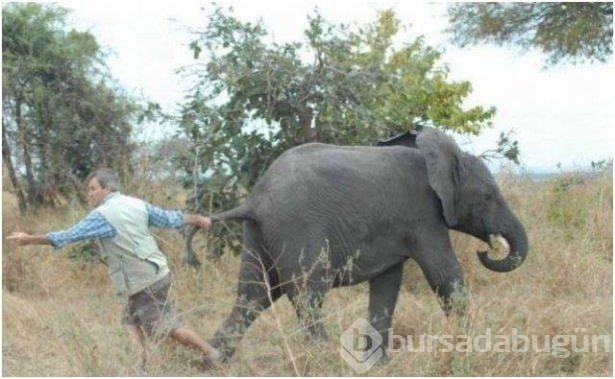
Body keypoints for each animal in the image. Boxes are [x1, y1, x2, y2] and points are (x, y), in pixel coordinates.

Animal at [195, 127, 532, 362]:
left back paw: (211, 361)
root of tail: (254, 201)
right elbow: (444, 275)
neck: (444, 156)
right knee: (306, 296)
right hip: (297, 229)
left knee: (254, 295)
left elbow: (387, 288)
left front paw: (380, 364)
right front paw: (473, 348)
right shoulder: (423, 216)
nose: (487, 249)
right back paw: (327, 360)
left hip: (259, 235)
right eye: (489, 196)